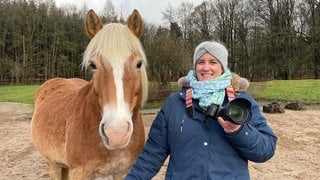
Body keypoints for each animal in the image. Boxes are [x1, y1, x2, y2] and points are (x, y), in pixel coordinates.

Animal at [30, 9, 148, 179]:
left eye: (139, 64)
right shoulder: (79, 172)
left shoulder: (123, 171)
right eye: (93, 65)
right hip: (53, 164)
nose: (116, 134)